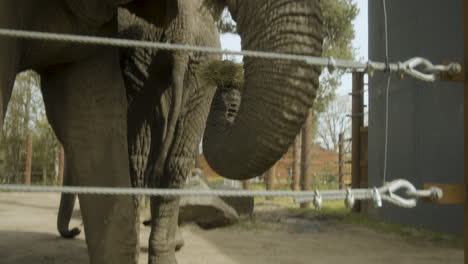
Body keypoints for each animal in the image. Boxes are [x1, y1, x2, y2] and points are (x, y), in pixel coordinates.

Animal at [0, 0, 322, 262]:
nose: (73, 231)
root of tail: (183, 29)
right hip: (168, 70)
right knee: (168, 163)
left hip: (154, 68)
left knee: (144, 161)